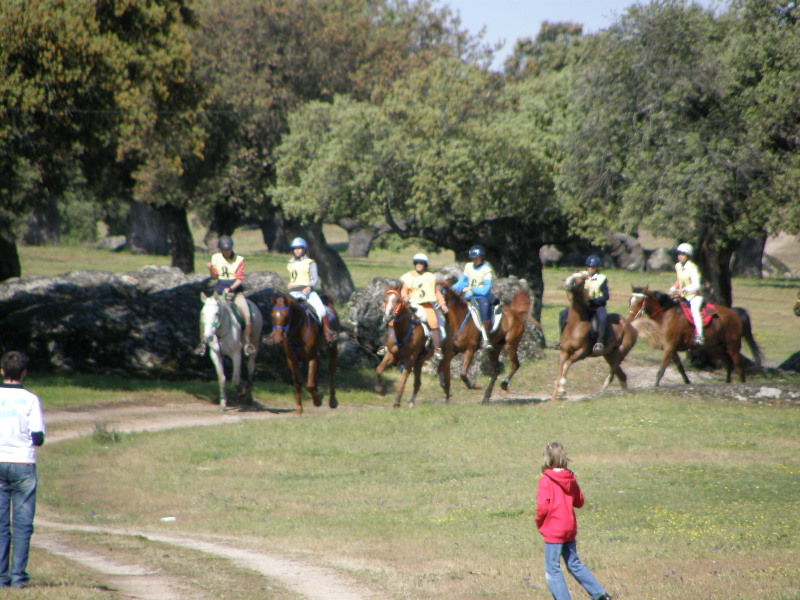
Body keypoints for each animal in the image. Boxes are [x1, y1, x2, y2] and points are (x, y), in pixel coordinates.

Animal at [624, 288, 764, 386]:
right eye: (630, 300)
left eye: (640, 301)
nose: (628, 318)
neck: (667, 315)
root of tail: (734, 312)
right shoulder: (672, 349)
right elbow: (679, 367)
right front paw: (687, 382)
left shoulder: (669, 348)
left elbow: (661, 370)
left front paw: (655, 385)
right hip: (713, 348)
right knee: (728, 361)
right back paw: (727, 382)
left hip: (733, 346)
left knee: (738, 366)